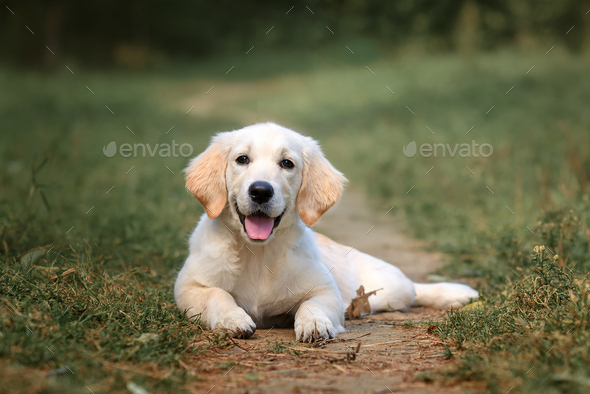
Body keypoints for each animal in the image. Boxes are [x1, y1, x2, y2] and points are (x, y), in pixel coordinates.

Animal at [176, 122, 480, 342]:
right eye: (242, 159)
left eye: (287, 163)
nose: (261, 191)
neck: (258, 253)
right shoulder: (187, 287)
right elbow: (216, 295)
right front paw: (233, 318)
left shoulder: (325, 288)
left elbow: (313, 305)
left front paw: (313, 323)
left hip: (389, 290)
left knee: (415, 290)